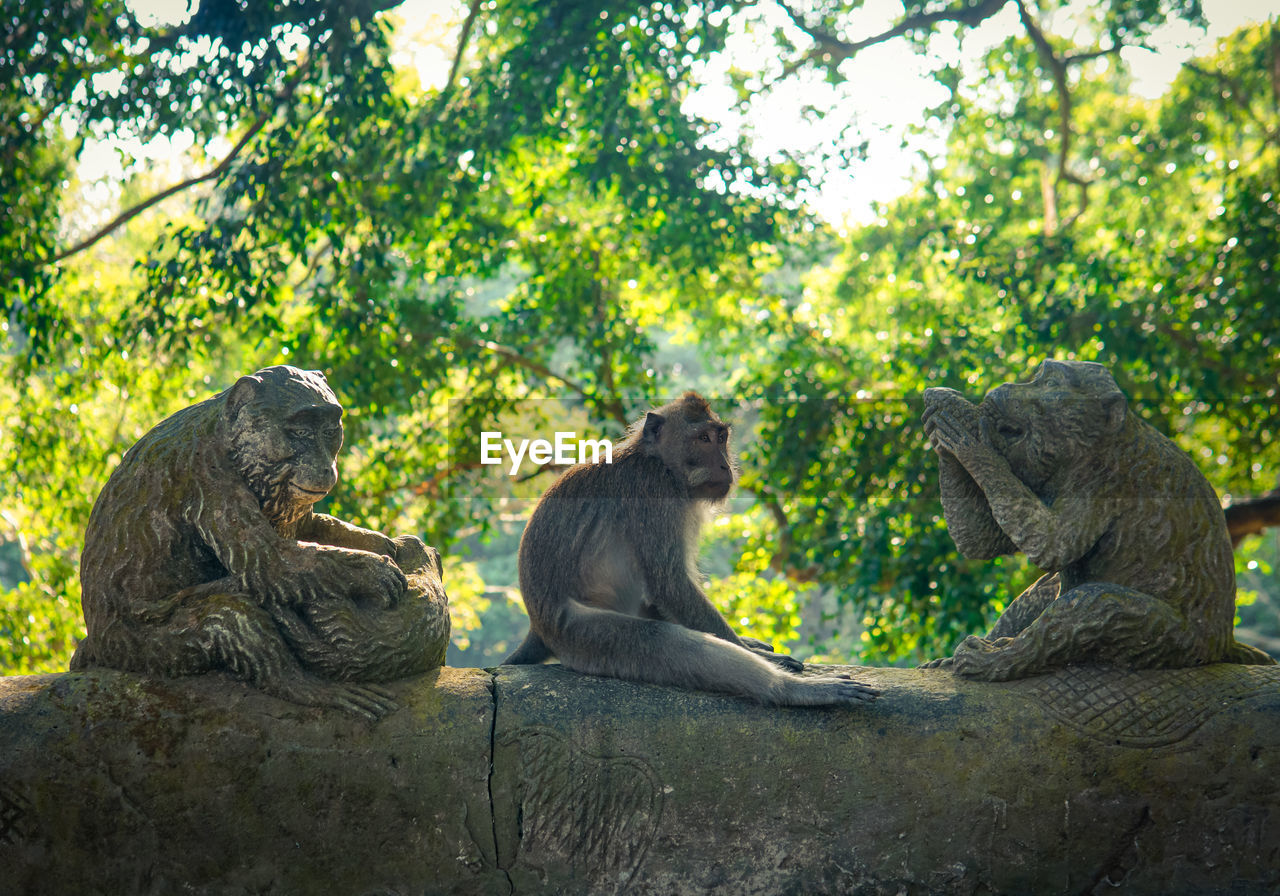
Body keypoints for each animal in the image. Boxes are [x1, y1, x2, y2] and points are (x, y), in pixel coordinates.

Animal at [73, 363, 450, 721]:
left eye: (330, 431)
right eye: (300, 431)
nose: (324, 467)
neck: (231, 440)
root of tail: (98, 639)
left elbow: (303, 527)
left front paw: (385, 544)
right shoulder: (209, 473)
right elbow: (269, 563)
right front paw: (372, 571)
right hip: (137, 647)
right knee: (228, 618)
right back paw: (309, 687)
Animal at [499, 391, 880, 706]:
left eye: (721, 437)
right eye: (703, 438)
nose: (725, 466)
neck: (659, 462)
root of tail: (538, 625)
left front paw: (748, 642)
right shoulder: (653, 492)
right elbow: (670, 584)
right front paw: (754, 652)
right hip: (582, 634)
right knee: (667, 643)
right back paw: (794, 690)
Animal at [921, 355, 1269, 680]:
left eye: (1050, 383)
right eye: (1036, 377)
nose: (1001, 388)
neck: (1093, 447)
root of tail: (1222, 645)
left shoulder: (1102, 482)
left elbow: (1052, 544)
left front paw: (972, 445)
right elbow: (986, 541)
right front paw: (942, 413)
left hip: (1178, 643)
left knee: (1095, 603)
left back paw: (995, 658)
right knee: (1049, 587)